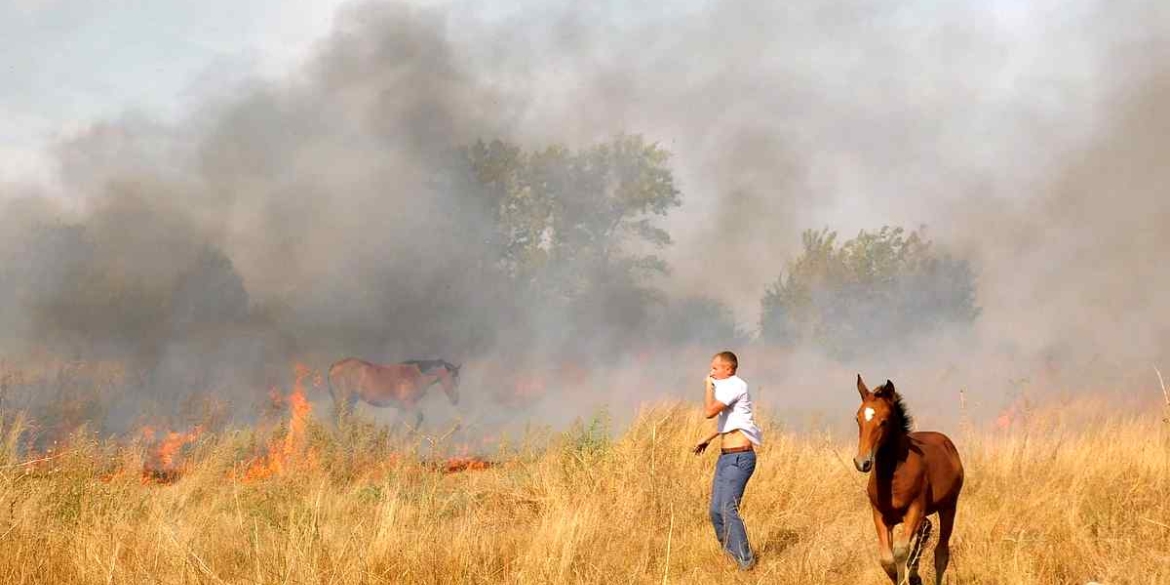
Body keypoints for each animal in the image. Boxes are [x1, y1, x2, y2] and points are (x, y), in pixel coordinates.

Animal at [329, 355, 460, 430]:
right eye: (453, 378)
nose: (456, 400)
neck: (417, 375)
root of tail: (334, 366)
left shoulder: (402, 408)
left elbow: (396, 426)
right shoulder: (408, 404)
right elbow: (420, 418)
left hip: (351, 400)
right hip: (344, 399)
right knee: (337, 417)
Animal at [856, 374, 964, 585]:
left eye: (884, 421)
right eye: (857, 418)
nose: (862, 462)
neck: (893, 477)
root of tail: (947, 444)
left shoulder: (915, 509)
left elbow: (900, 551)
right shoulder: (879, 515)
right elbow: (887, 560)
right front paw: (910, 576)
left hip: (948, 506)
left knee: (941, 552)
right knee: (927, 528)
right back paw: (914, 574)